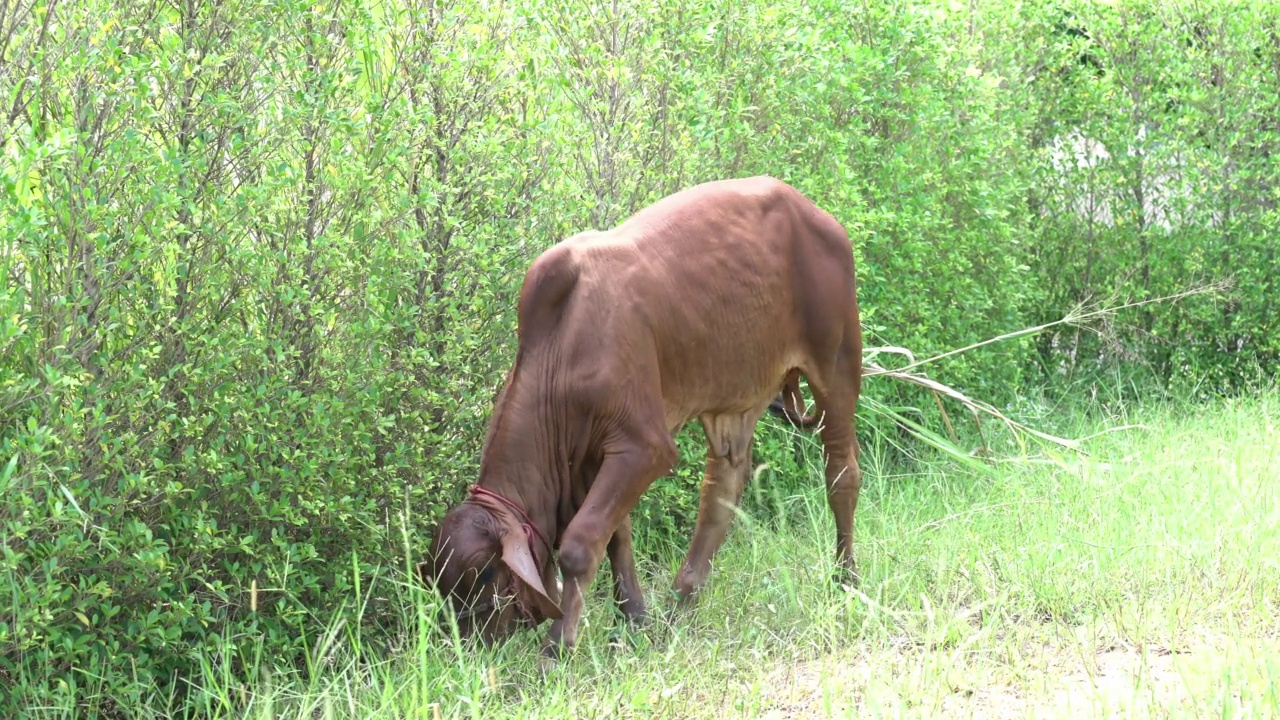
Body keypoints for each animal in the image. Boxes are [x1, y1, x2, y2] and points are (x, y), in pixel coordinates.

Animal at [424, 175, 865, 661]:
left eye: (484, 574)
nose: (472, 648)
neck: (562, 350)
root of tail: (815, 213)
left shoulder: (644, 446)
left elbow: (579, 544)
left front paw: (556, 648)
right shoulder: (593, 454)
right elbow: (616, 537)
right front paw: (634, 618)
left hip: (838, 365)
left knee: (842, 474)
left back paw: (845, 580)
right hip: (732, 397)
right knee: (722, 490)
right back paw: (681, 600)